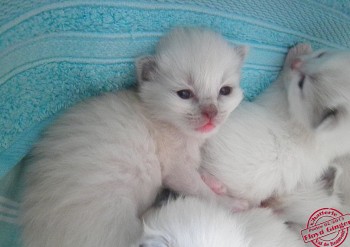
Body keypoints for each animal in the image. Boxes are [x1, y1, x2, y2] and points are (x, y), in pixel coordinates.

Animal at [20, 28, 247, 247]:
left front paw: (214, 182)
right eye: (184, 94)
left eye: (225, 91)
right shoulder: (176, 169)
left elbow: (198, 174)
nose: (211, 113)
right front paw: (232, 202)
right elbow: (200, 191)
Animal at [201, 43, 350, 207]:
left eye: (301, 84)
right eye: (321, 54)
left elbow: (282, 81)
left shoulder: (277, 100)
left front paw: (296, 52)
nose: (296, 62)